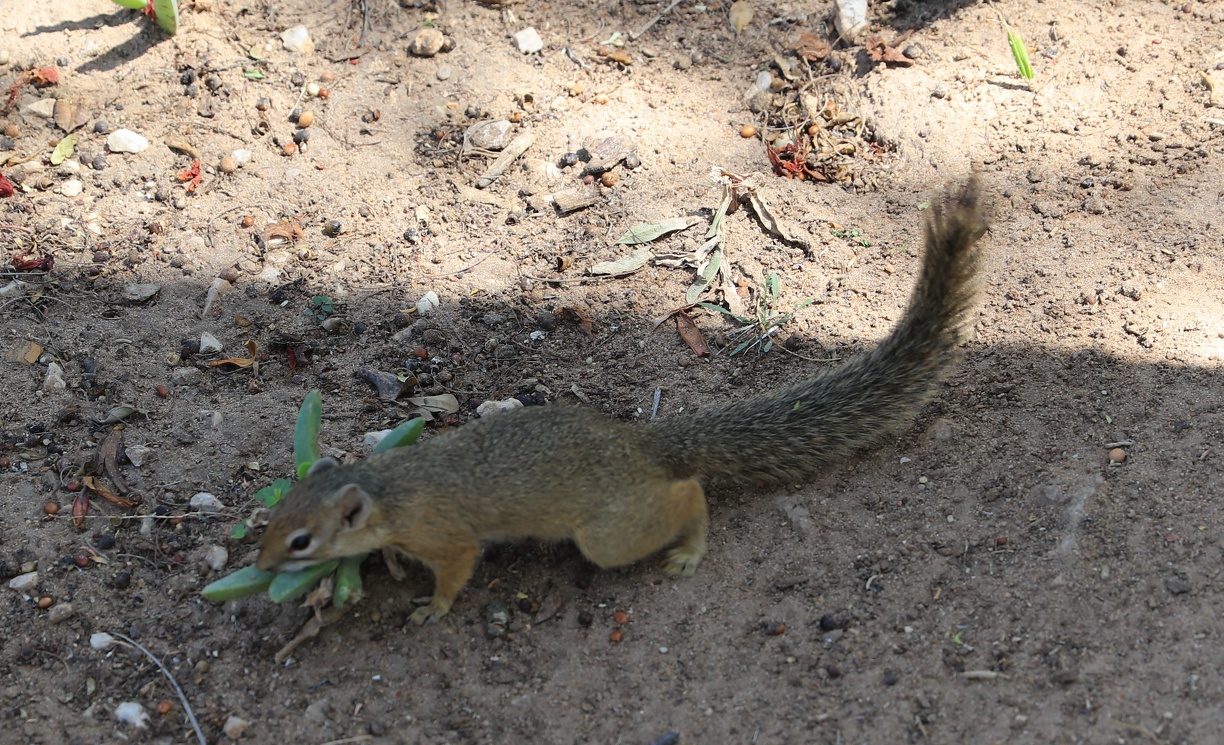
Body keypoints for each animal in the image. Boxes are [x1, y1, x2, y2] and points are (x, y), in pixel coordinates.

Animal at [257, 178, 988, 625]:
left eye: (300, 540)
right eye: (275, 516)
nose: (259, 567)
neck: (388, 485)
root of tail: (640, 444)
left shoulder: (447, 538)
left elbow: (456, 571)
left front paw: (431, 607)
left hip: (606, 534)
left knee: (688, 494)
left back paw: (690, 546)